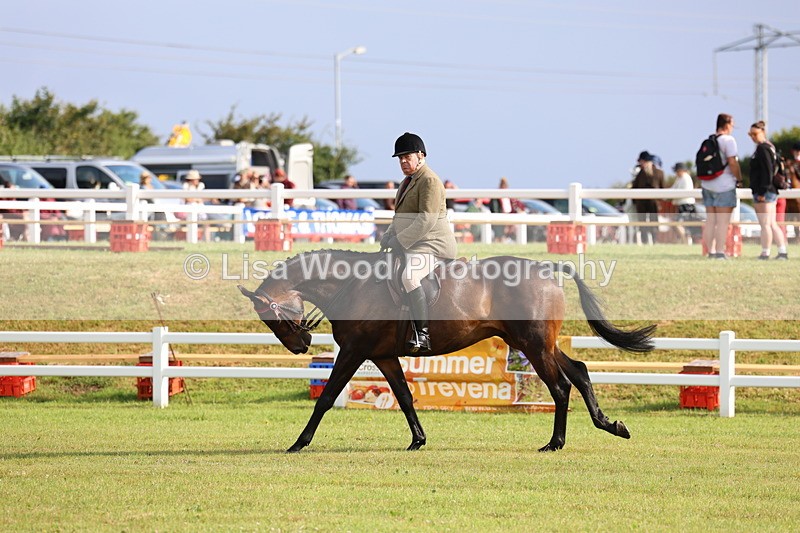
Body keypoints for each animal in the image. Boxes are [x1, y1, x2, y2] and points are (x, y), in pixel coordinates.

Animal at [239, 249, 655, 453]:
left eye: (271, 318)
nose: (300, 346)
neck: (351, 285)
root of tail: (545, 268)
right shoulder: (383, 355)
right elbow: (405, 397)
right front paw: (418, 441)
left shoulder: (355, 352)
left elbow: (325, 398)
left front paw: (298, 443)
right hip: (536, 344)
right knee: (580, 370)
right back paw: (611, 425)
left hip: (535, 346)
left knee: (560, 387)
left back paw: (555, 444)